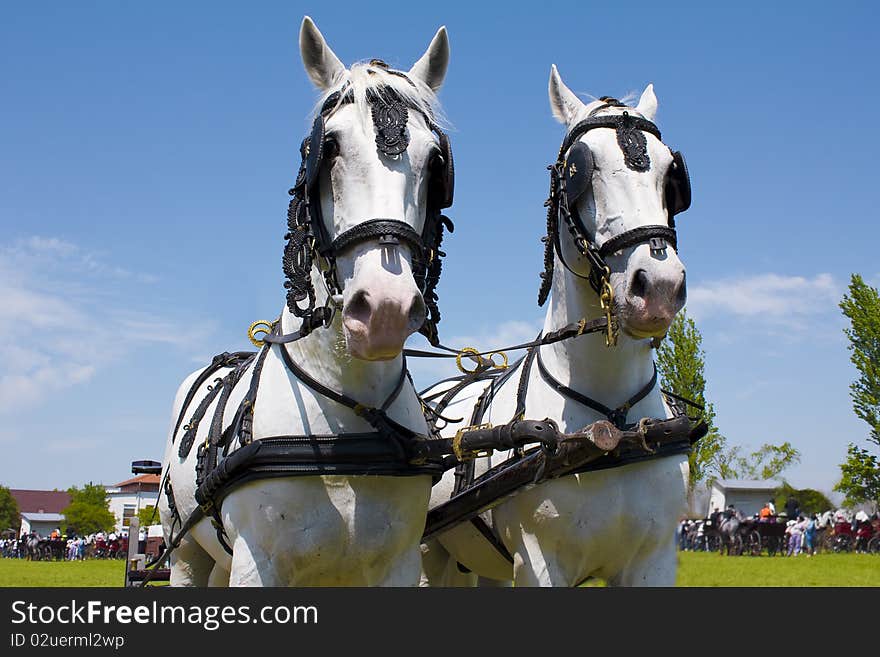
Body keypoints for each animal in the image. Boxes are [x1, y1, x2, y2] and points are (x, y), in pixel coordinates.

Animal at [159, 18, 458, 588]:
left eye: (435, 162)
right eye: (331, 148)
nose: (384, 309)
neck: (349, 414)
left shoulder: (399, 564)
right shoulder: (255, 564)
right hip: (186, 552)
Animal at [422, 66, 692, 588]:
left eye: (671, 174)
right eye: (579, 170)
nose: (659, 287)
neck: (613, 421)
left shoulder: (655, 560)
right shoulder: (540, 561)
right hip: (426, 553)